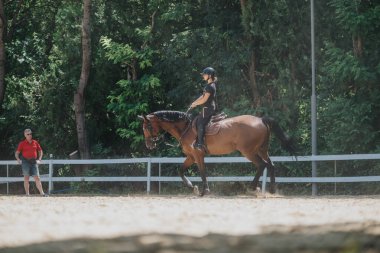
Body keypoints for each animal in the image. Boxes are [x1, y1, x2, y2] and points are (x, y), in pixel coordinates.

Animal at [138, 110, 296, 196]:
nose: (149, 145)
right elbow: (181, 171)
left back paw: (252, 188)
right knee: (271, 165)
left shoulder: (198, 155)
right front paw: (192, 187)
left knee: (262, 165)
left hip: (249, 151)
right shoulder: (191, 156)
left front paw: (204, 190)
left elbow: (202, 172)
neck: (186, 128)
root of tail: (261, 119)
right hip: (262, 149)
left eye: (147, 127)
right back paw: (272, 189)